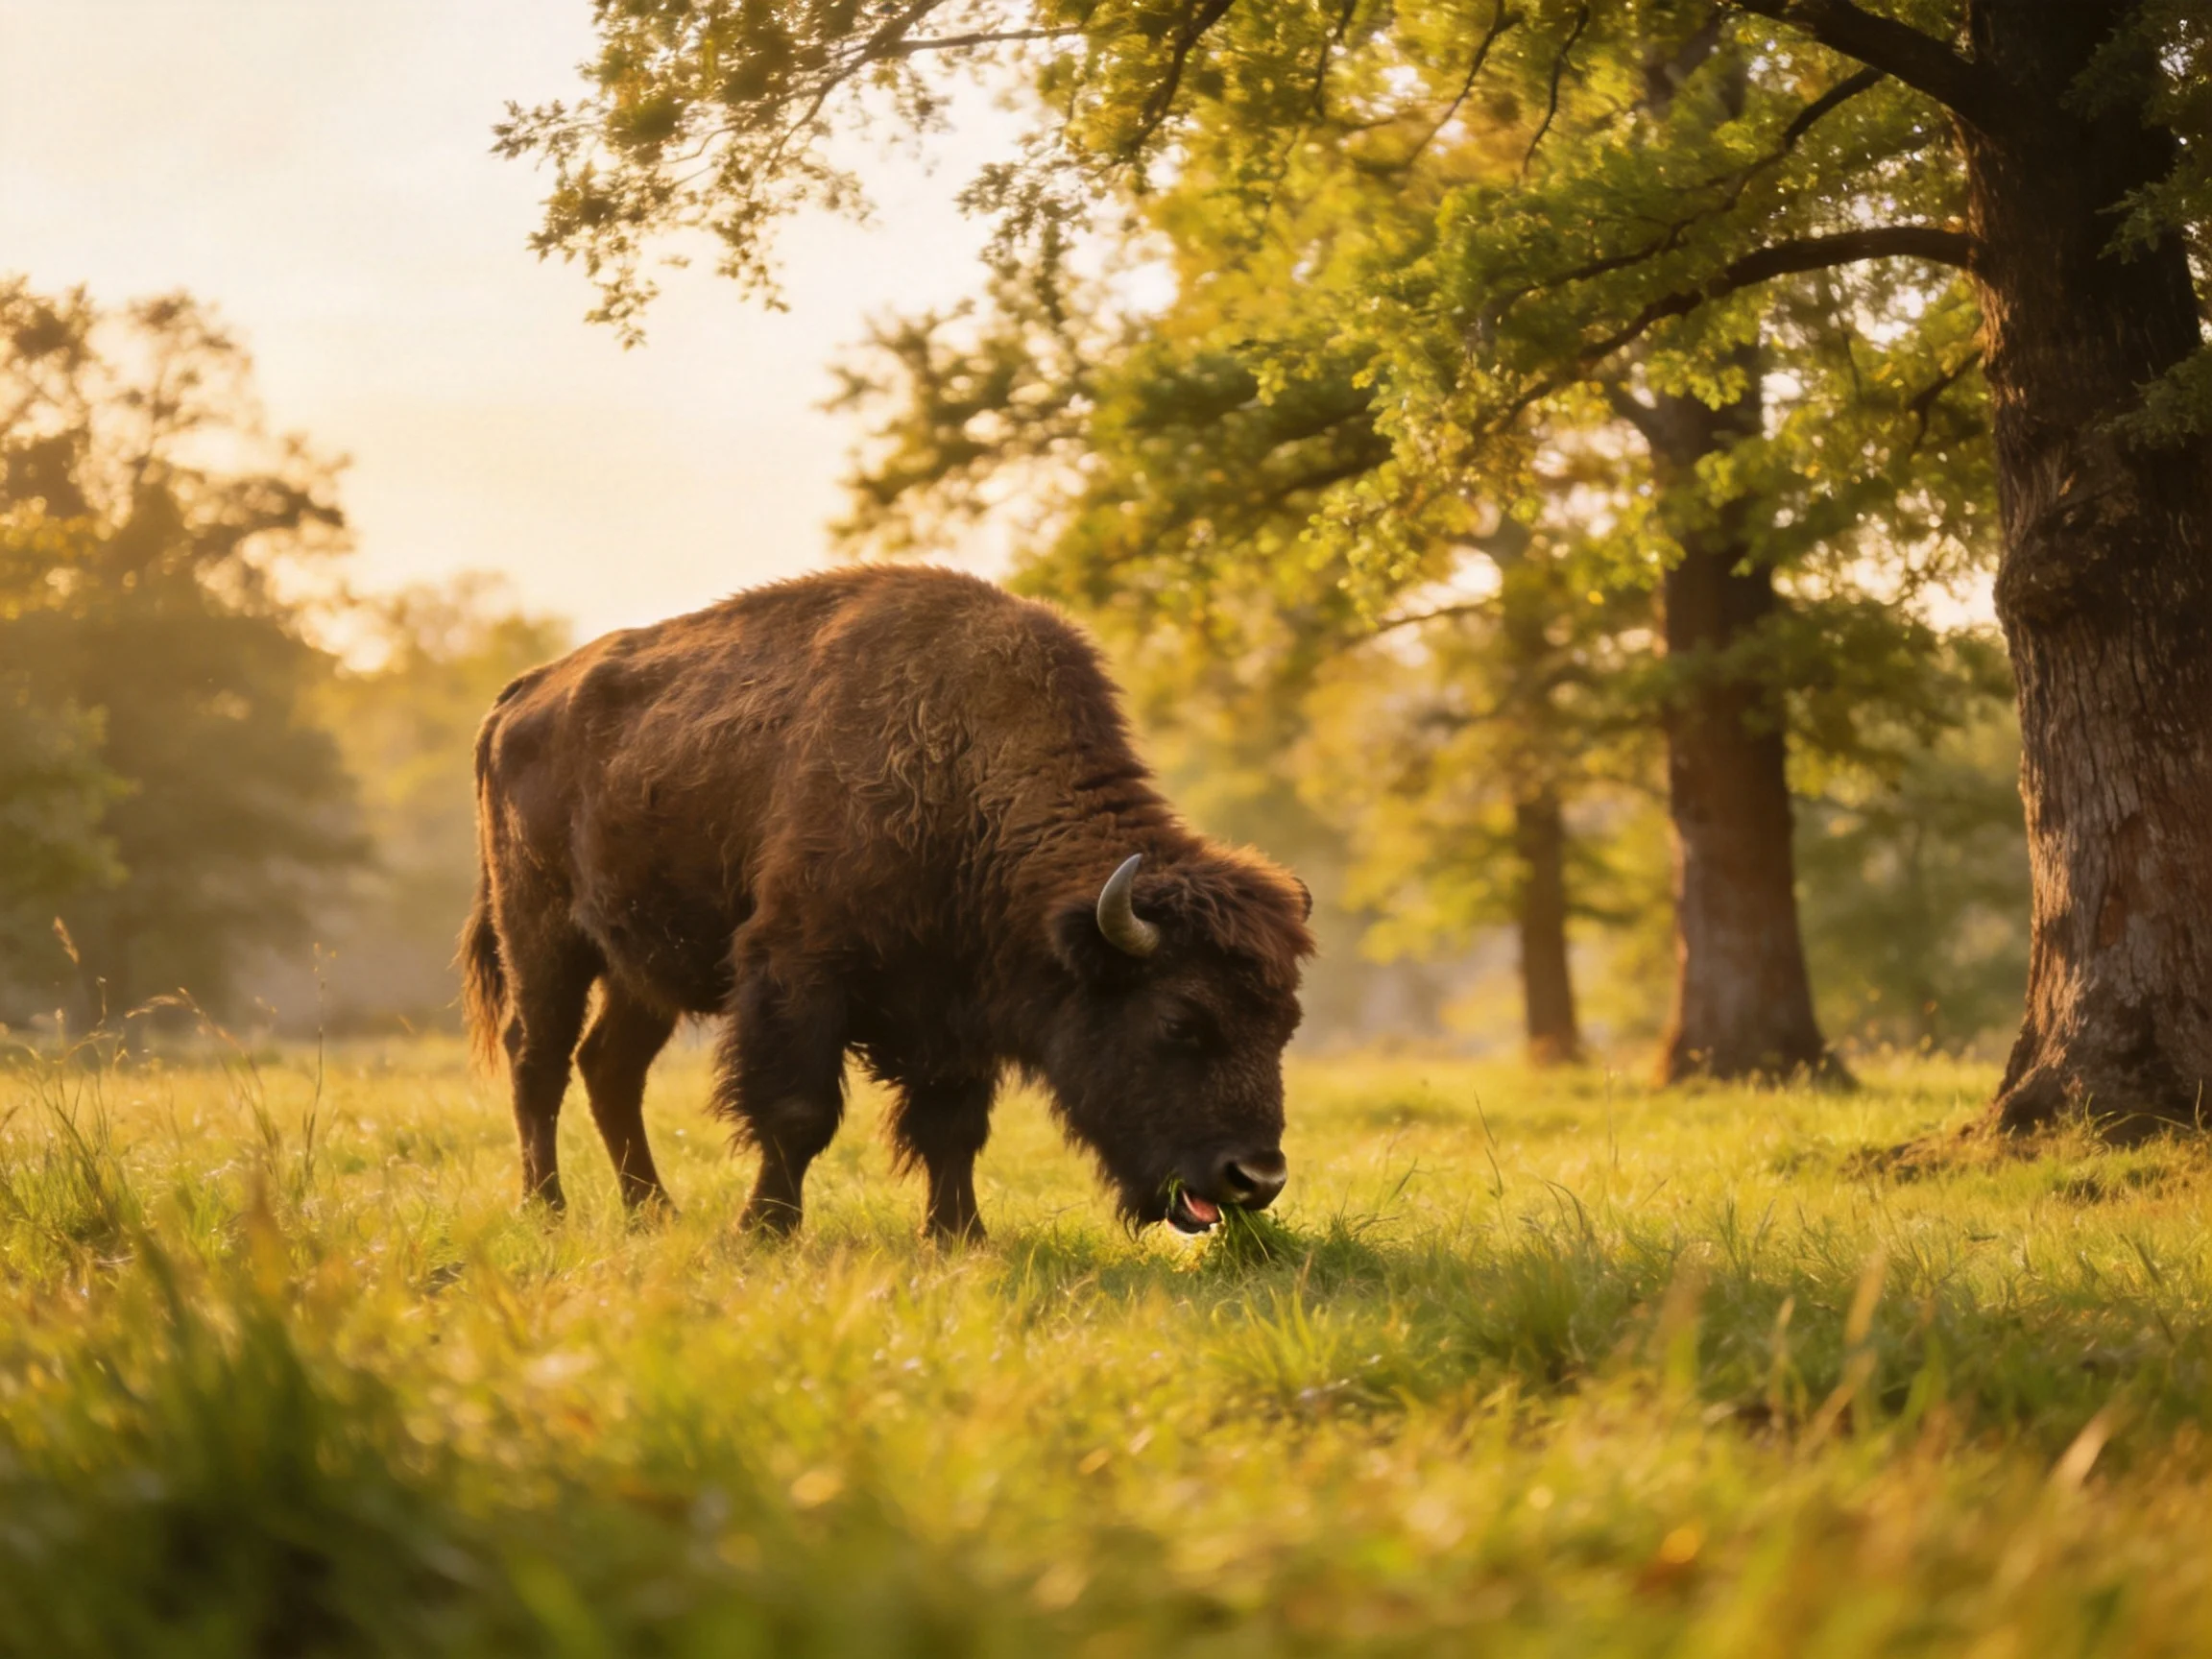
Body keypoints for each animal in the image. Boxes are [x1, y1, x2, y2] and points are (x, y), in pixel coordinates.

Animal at [460, 565, 1314, 1238]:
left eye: (1283, 1027)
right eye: (1178, 1021)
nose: (1256, 1179)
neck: (963, 768)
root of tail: (519, 697)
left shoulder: (959, 1005)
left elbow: (953, 1128)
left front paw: (960, 1236)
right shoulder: (797, 973)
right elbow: (798, 1114)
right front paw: (765, 1231)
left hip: (643, 969)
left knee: (610, 1067)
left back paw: (653, 1212)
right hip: (542, 936)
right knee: (538, 1059)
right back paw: (547, 1208)